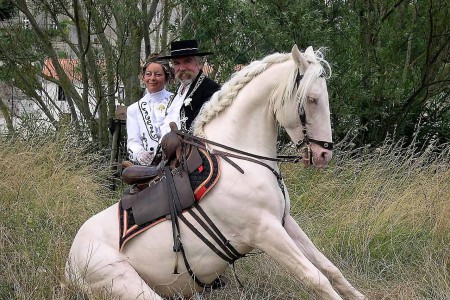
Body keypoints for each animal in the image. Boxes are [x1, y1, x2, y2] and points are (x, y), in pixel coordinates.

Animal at [67, 45, 370, 300]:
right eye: (312, 99)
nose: (324, 154)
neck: (241, 160)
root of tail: (71, 262)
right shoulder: (266, 232)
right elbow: (315, 277)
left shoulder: (285, 223)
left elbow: (330, 269)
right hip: (128, 284)